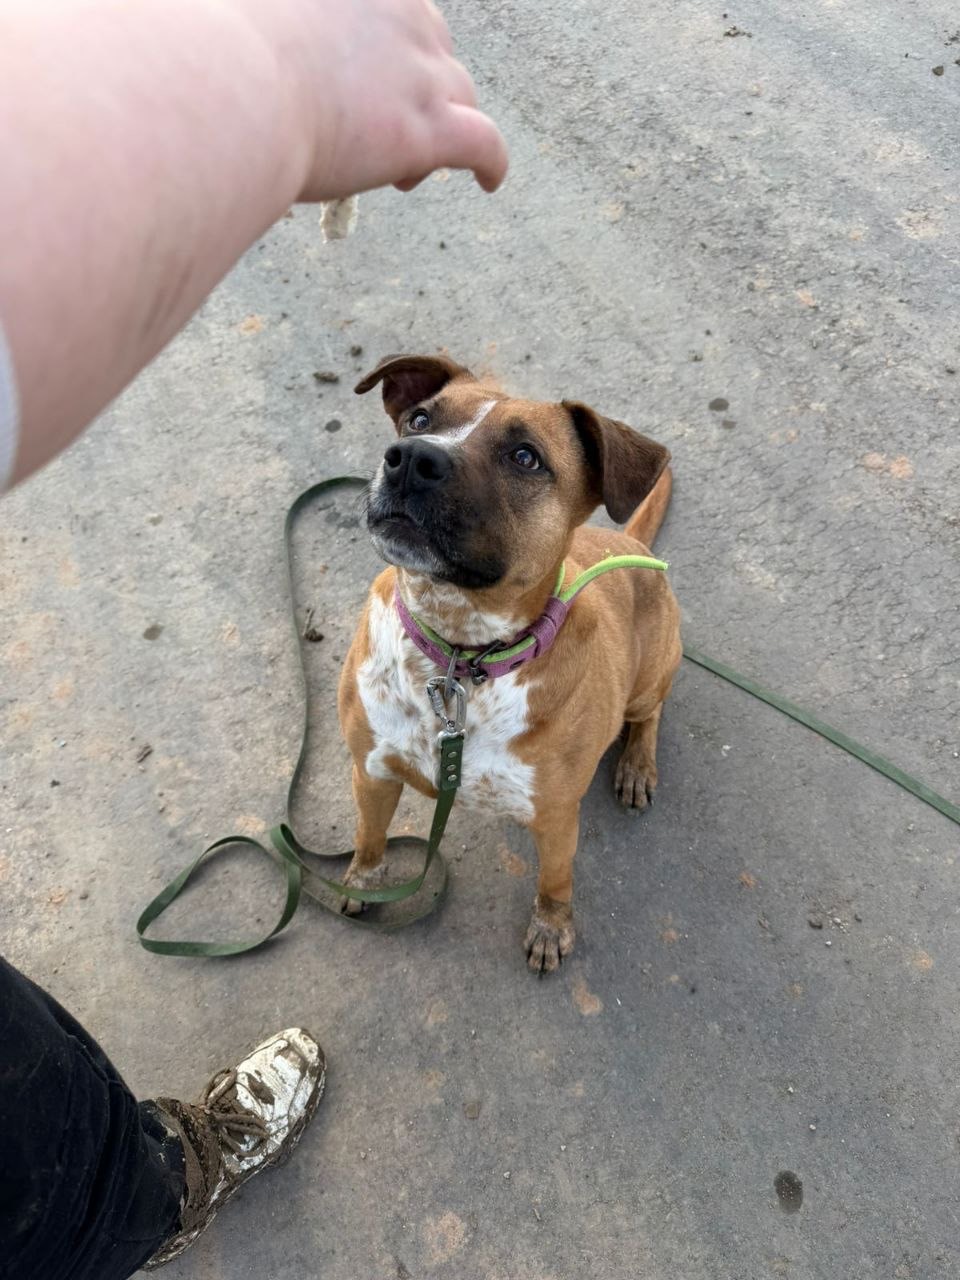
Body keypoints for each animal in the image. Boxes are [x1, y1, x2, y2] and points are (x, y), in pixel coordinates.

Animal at [337, 354, 681, 972]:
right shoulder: (371, 770)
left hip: (654, 672)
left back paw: (637, 764)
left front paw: (551, 927)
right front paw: (362, 882)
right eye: (419, 418)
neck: (460, 655)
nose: (411, 459)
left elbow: (556, 881)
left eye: (525, 457)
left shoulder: (556, 816)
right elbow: (370, 838)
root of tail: (634, 544)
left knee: (650, 714)